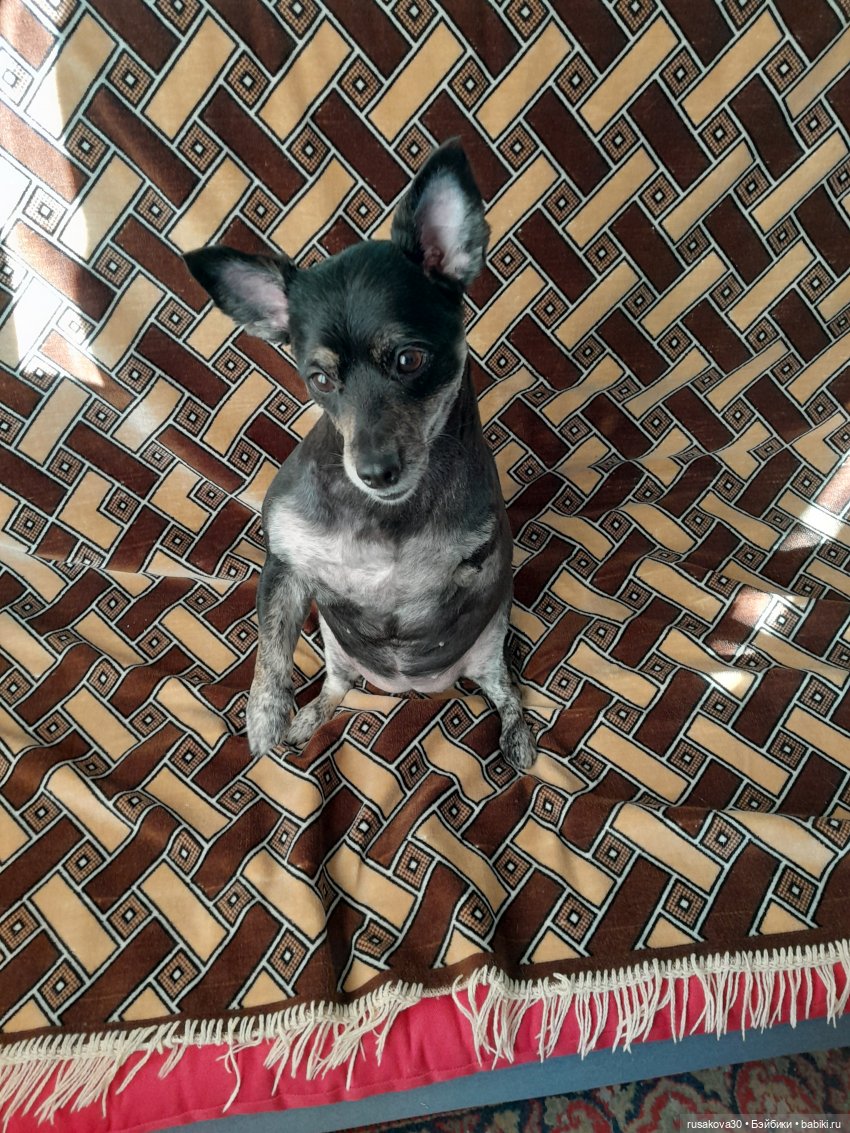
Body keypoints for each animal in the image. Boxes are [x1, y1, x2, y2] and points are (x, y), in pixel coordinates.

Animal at [185, 140, 537, 773]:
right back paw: (307, 718)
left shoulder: (480, 568)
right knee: (336, 685)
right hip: (333, 652)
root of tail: (410, 691)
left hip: (486, 652)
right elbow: (270, 650)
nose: (374, 471)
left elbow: (455, 588)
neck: (382, 517)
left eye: (408, 360)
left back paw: (516, 734)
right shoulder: (287, 569)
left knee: (504, 689)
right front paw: (266, 718)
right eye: (319, 379)